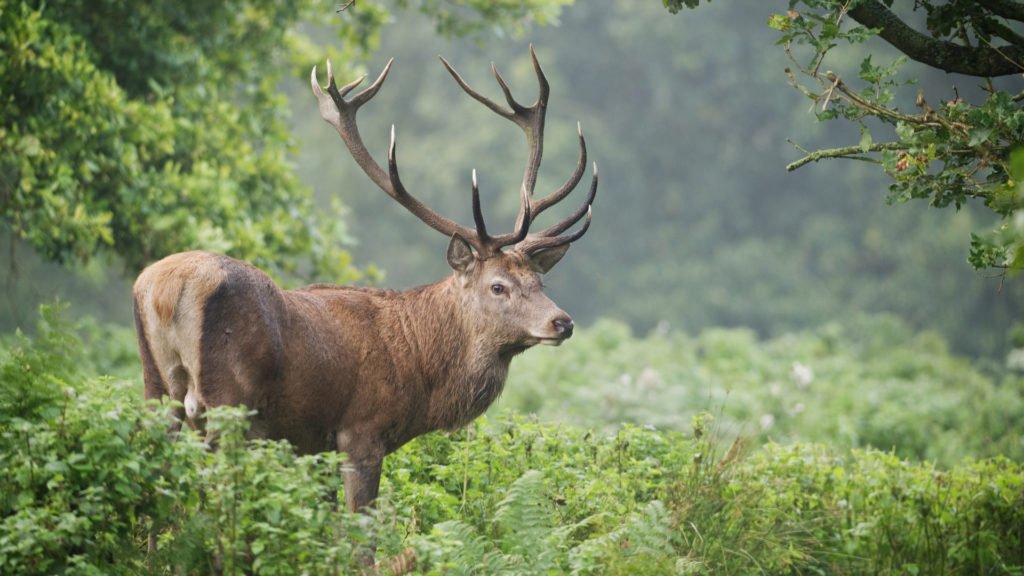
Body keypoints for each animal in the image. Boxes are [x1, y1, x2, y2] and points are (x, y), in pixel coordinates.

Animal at [132, 45, 598, 516]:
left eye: (540, 283)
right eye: (498, 285)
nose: (563, 322)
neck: (419, 365)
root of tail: (167, 288)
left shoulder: (312, 443)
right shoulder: (361, 430)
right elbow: (361, 528)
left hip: (156, 387)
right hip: (227, 401)